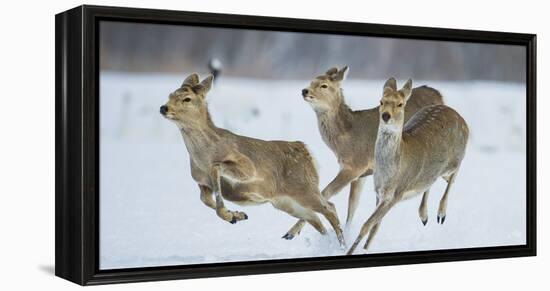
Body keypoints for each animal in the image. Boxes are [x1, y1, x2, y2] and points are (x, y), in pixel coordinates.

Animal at [161, 74, 350, 248]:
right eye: (170, 95)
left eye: (187, 98)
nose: (164, 108)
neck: (203, 157)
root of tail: (306, 150)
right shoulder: (201, 183)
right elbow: (205, 199)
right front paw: (236, 216)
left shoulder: (247, 167)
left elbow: (217, 169)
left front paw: (231, 214)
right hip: (286, 202)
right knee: (316, 219)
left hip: (304, 188)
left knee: (329, 208)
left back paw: (341, 244)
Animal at [284, 67, 444, 241]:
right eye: (311, 81)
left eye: (324, 85)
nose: (304, 90)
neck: (345, 138)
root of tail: (438, 93)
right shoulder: (361, 174)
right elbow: (352, 205)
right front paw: (346, 232)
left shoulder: (355, 165)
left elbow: (325, 192)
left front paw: (291, 232)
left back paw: (427, 215)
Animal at [350, 78, 470, 256]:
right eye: (381, 101)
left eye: (400, 104)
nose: (386, 115)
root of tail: (461, 118)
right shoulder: (378, 191)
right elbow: (375, 227)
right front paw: (363, 249)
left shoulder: (396, 193)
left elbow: (367, 225)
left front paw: (348, 251)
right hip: (435, 172)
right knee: (435, 181)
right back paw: (424, 216)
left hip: (456, 158)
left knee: (454, 174)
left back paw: (441, 214)